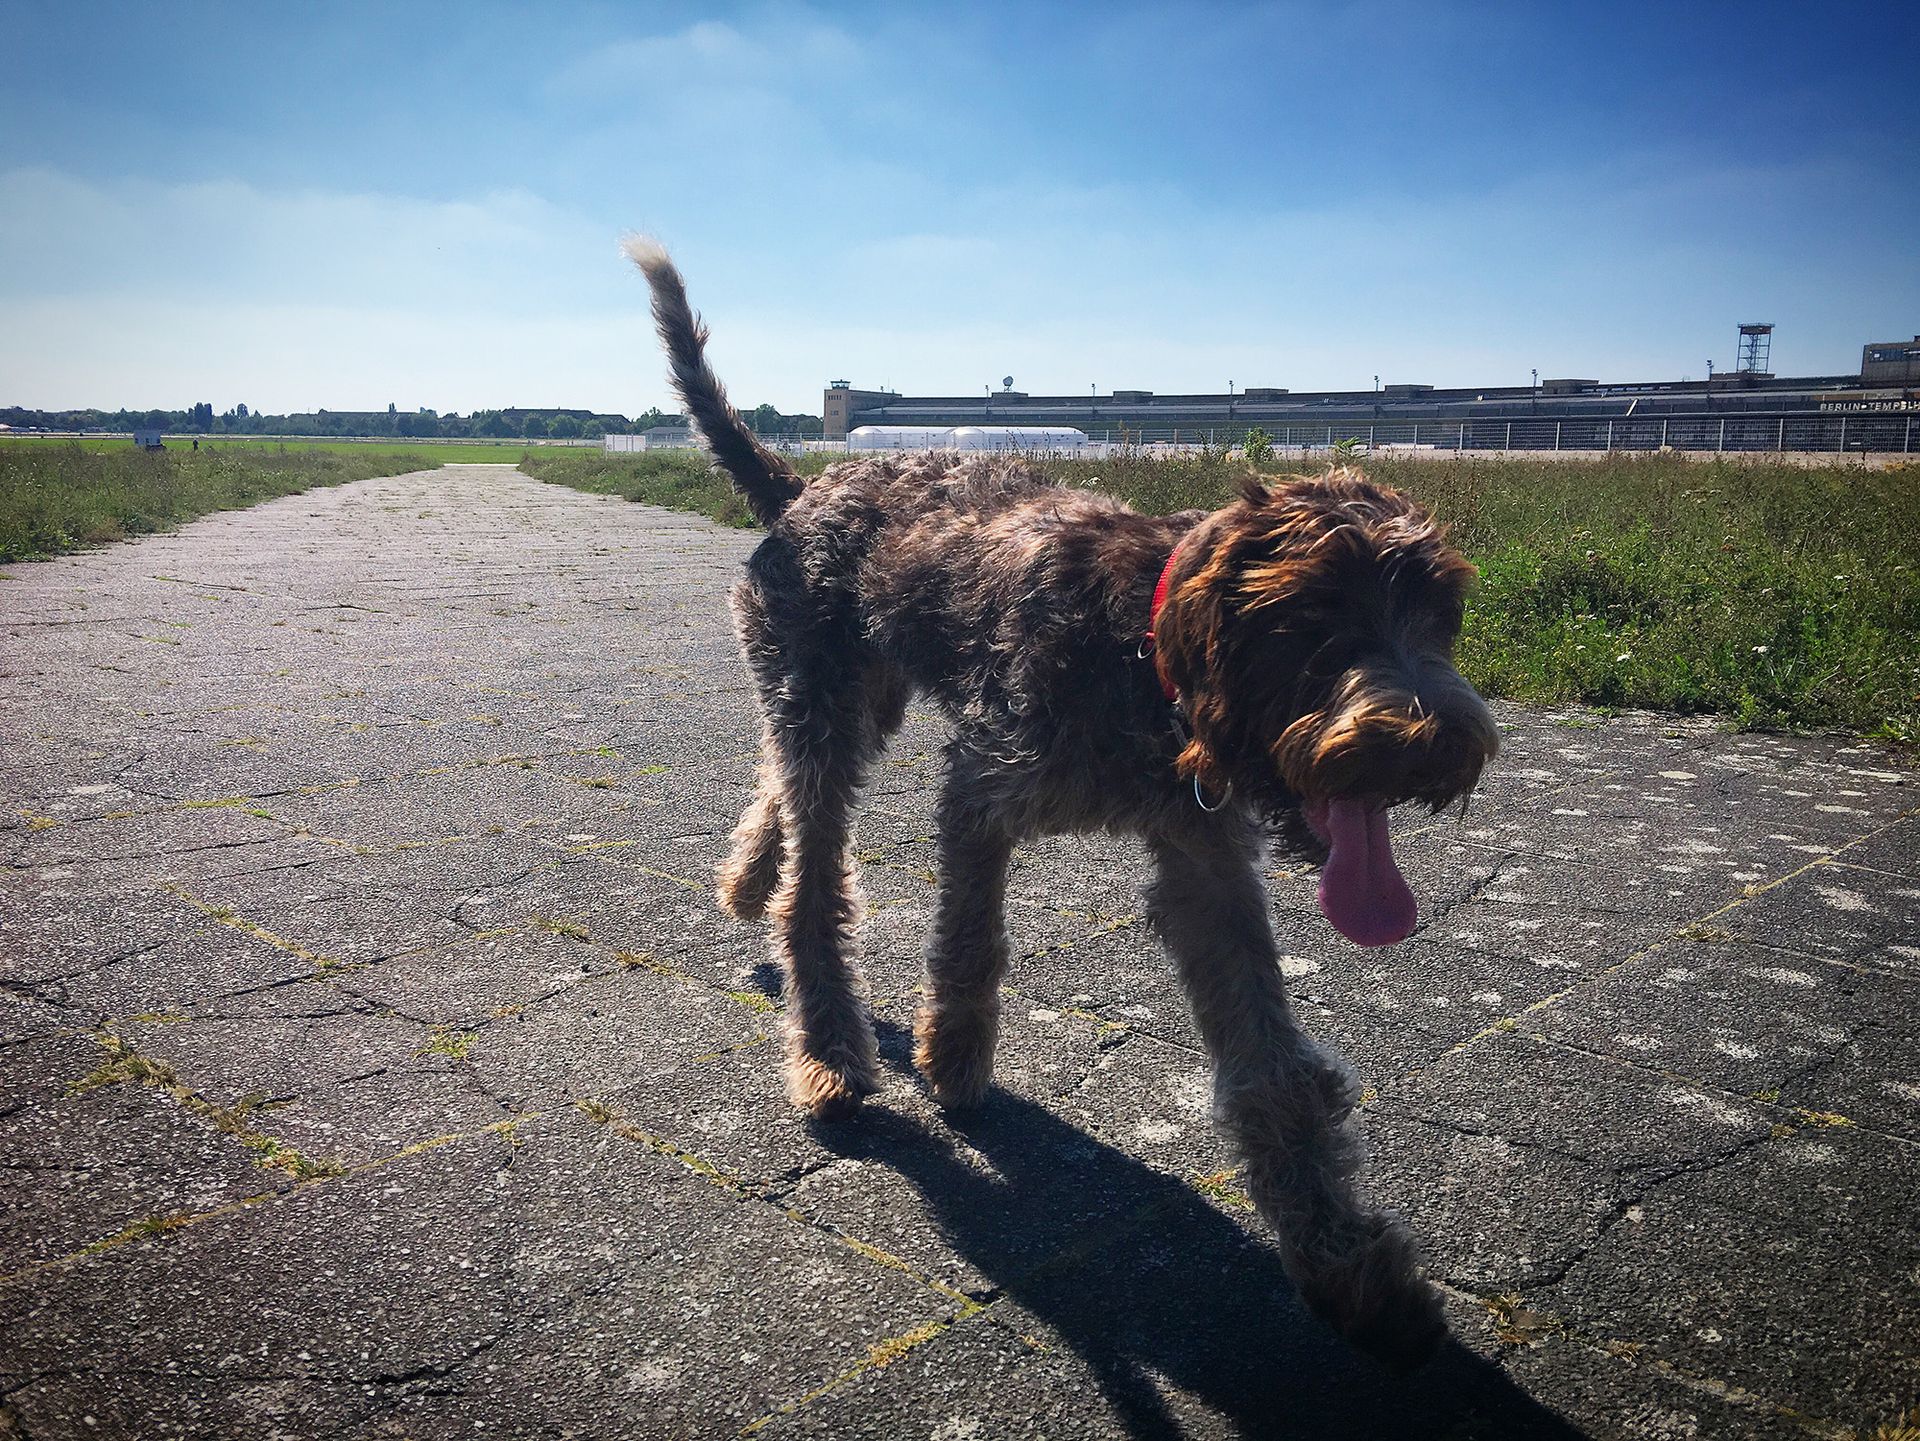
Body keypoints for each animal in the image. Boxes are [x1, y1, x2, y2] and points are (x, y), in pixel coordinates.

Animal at [629, 242, 1497, 1366]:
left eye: (1442, 613)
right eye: (1312, 619)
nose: (1437, 746)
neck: (1143, 654)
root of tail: (805, 484)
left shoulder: (1206, 861)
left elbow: (1271, 1069)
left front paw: (1348, 1264)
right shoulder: (984, 786)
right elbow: (970, 939)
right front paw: (954, 1054)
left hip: (856, 697)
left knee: (777, 783)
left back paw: (748, 875)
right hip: (820, 697)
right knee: (814, 883)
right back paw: (827, 1048)